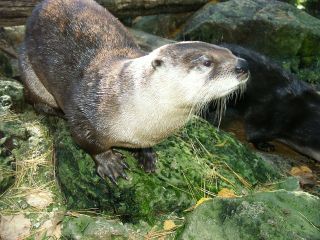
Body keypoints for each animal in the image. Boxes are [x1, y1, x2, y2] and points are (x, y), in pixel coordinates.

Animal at [19, 0, 250, 183]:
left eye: (230, 52)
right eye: (207, 62)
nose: (243, 65)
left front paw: (147, 155)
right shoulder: (84, 115)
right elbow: (90, 143)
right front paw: (109, 162)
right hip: (30, 73)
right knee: (33, 100)